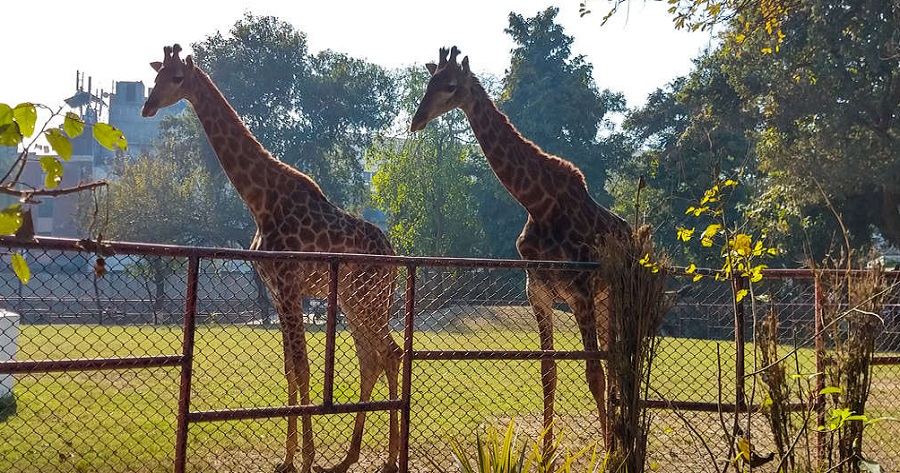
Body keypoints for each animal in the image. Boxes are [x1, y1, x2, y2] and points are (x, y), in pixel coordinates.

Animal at [141, 44, 402, 473]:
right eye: (156, 75)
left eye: (177, 77)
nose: (147, 106)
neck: (260, 200)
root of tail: (394, 259)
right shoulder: (277, 293)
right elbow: (290, 370)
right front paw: (289, 458)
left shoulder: (290, 285)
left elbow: (303, 368)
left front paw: (308, 458)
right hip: (352, 299)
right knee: (373, 357)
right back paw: (351, 458)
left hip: (370, 298)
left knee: (389, 353)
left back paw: (392, 459)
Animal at [410, 46, 631, 450]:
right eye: (428, 82)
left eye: (450, 85)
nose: (417, 121)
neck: (538, 204)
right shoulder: (538, 291)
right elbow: (548, 371)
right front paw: (545, 452)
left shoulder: (580, 292)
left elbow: (593, 373)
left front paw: (608, 453)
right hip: (605, 300)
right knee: (613, 358)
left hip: (617, 296)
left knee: (615, 362)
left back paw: (618, 442)